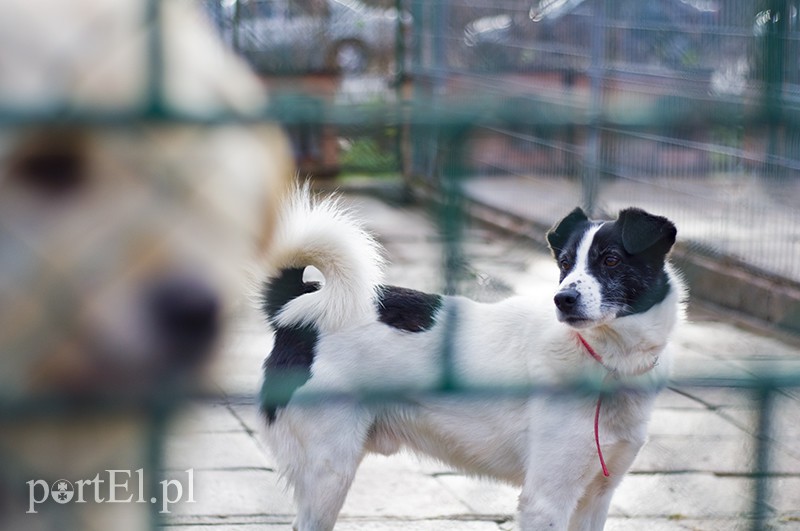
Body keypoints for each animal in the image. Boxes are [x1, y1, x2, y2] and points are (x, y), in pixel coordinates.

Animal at [260, 188, 684, 531]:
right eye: (564, 264)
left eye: (611, 260)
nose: (563, 299)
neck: (605, 361)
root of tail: (299, 307)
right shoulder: (546, 500)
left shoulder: (596, 497)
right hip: (329, 471)